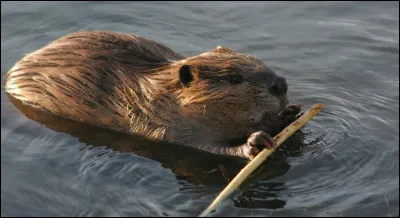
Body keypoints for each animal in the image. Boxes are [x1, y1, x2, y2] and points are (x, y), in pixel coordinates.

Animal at [4, 30, 302, 159]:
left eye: (257, 60)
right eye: (234, 78)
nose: (280, 84)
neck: (159, 90)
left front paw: (291, 113)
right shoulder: (164, 125)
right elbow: (207, 147)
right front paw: (255, 142)